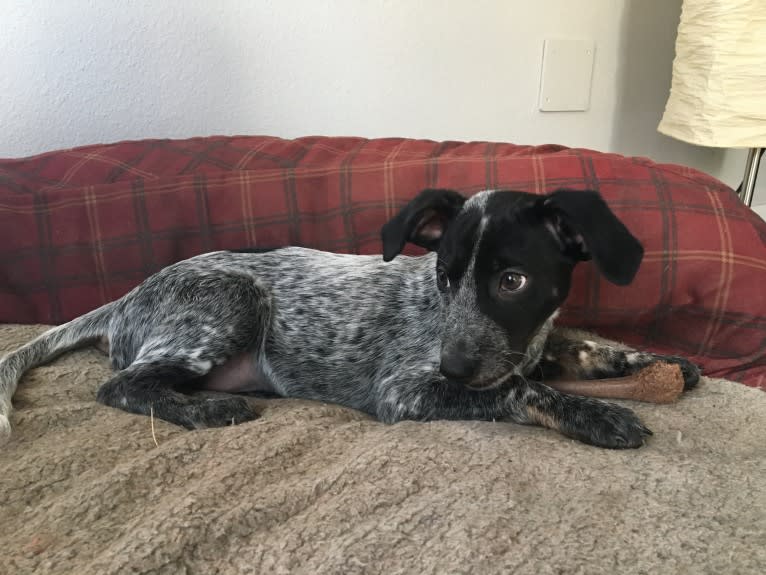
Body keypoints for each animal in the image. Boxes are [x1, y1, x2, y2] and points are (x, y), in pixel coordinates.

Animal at [0, 189, 700, 450]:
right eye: (444, 277)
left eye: (512, 282)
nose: (454, 365)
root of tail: (126, 298)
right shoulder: (407, 391)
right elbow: (521, 389)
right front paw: (597, 413)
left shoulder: (524, 342)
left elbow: (571, 349)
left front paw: (656, 363)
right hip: (232, 298)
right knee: (120, 385)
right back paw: (206, 410)